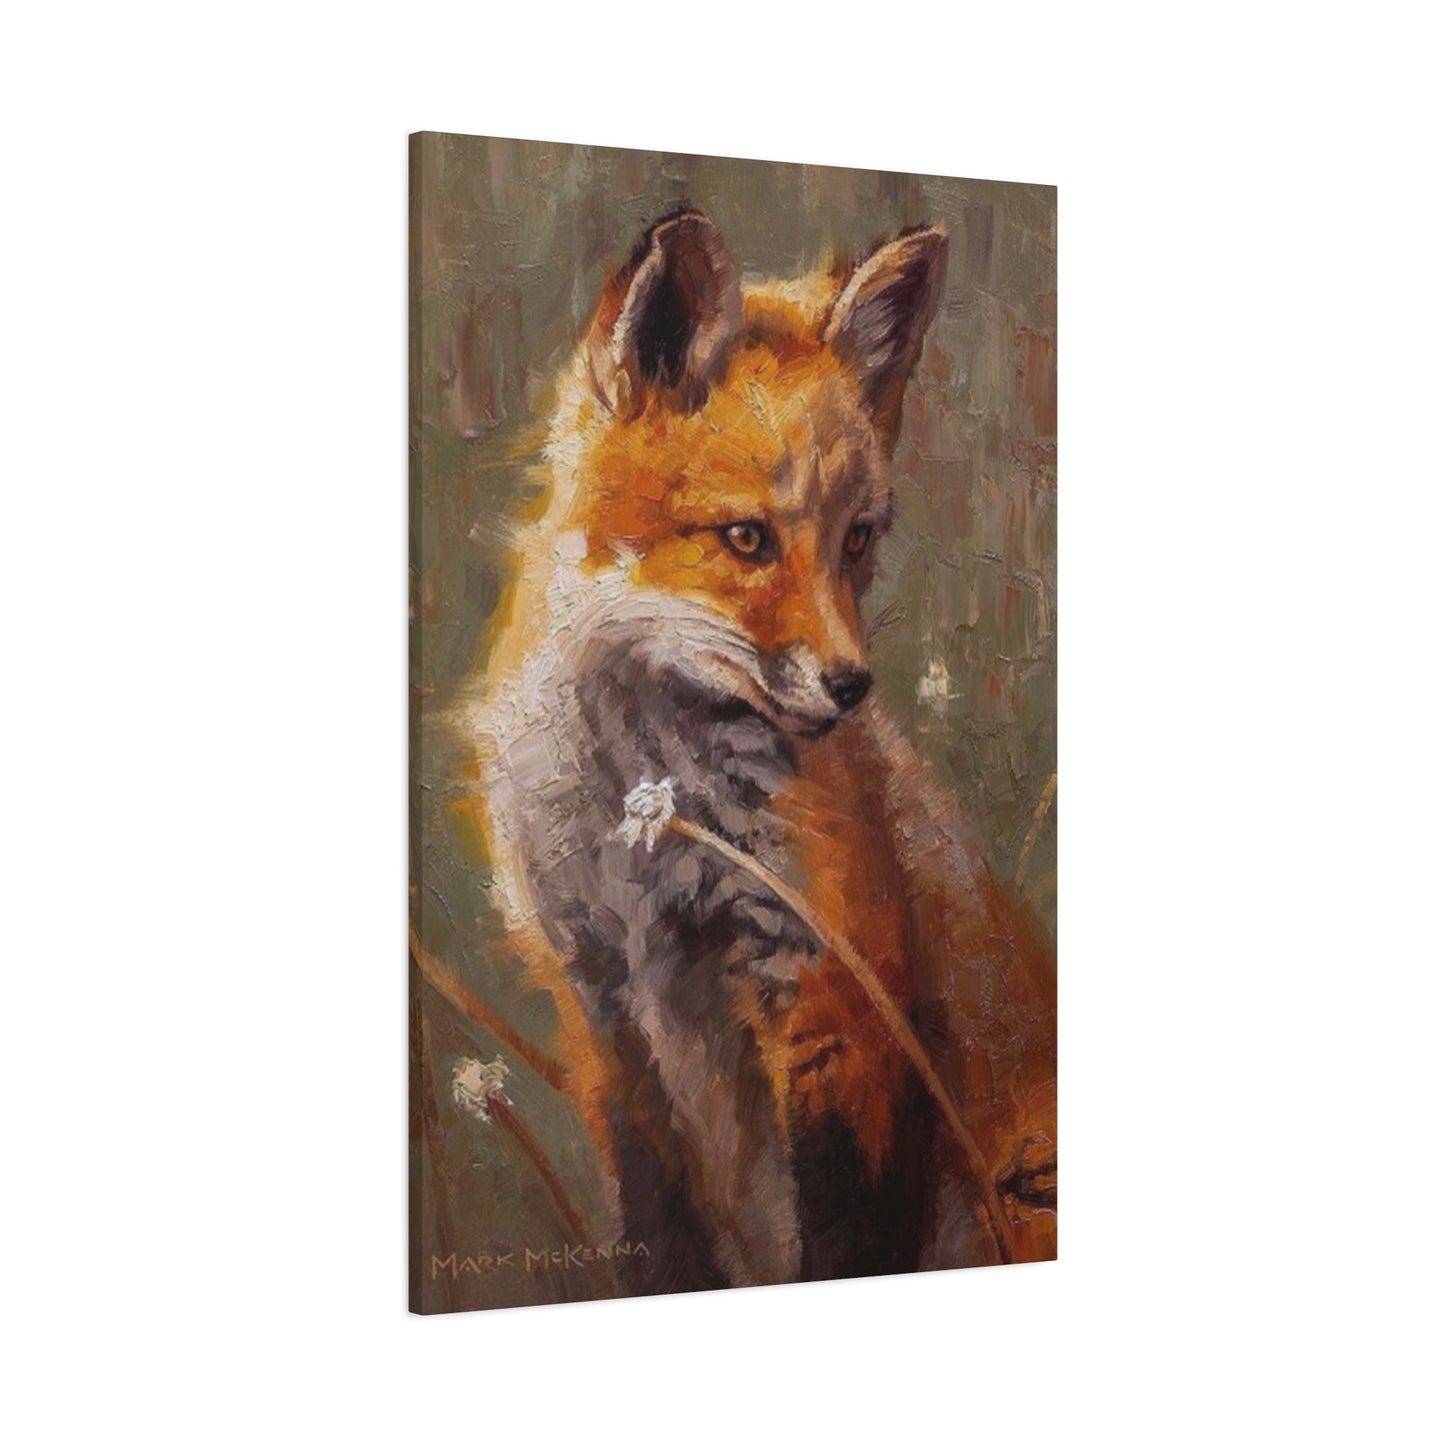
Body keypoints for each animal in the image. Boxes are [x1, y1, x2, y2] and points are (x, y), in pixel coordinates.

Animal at [464, 209, 1056, 1292]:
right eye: (745, 538)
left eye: (856, 537)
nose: (851, 686)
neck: (648, 817)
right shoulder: (599, 1000)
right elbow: (657, 1232)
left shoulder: (836, 991)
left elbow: (846, 1234)